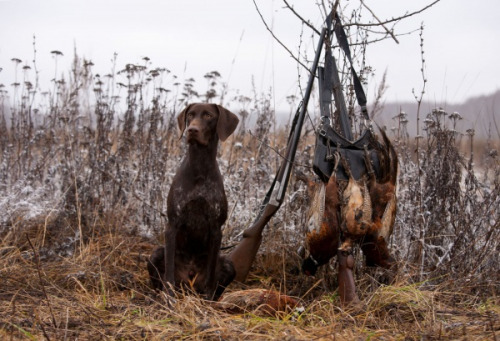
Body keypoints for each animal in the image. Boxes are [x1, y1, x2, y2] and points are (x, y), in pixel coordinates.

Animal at [146, 102, 238, 298]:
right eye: (190, 115)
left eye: (209, 116)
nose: (192, 130)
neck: (199, 168)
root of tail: (190, 282)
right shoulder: (172, 225)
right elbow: (169, 274)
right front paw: (169, 298)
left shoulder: (216, 229)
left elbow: (211, 276)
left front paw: (208, 300)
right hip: (155, 254)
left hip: (228, 264)